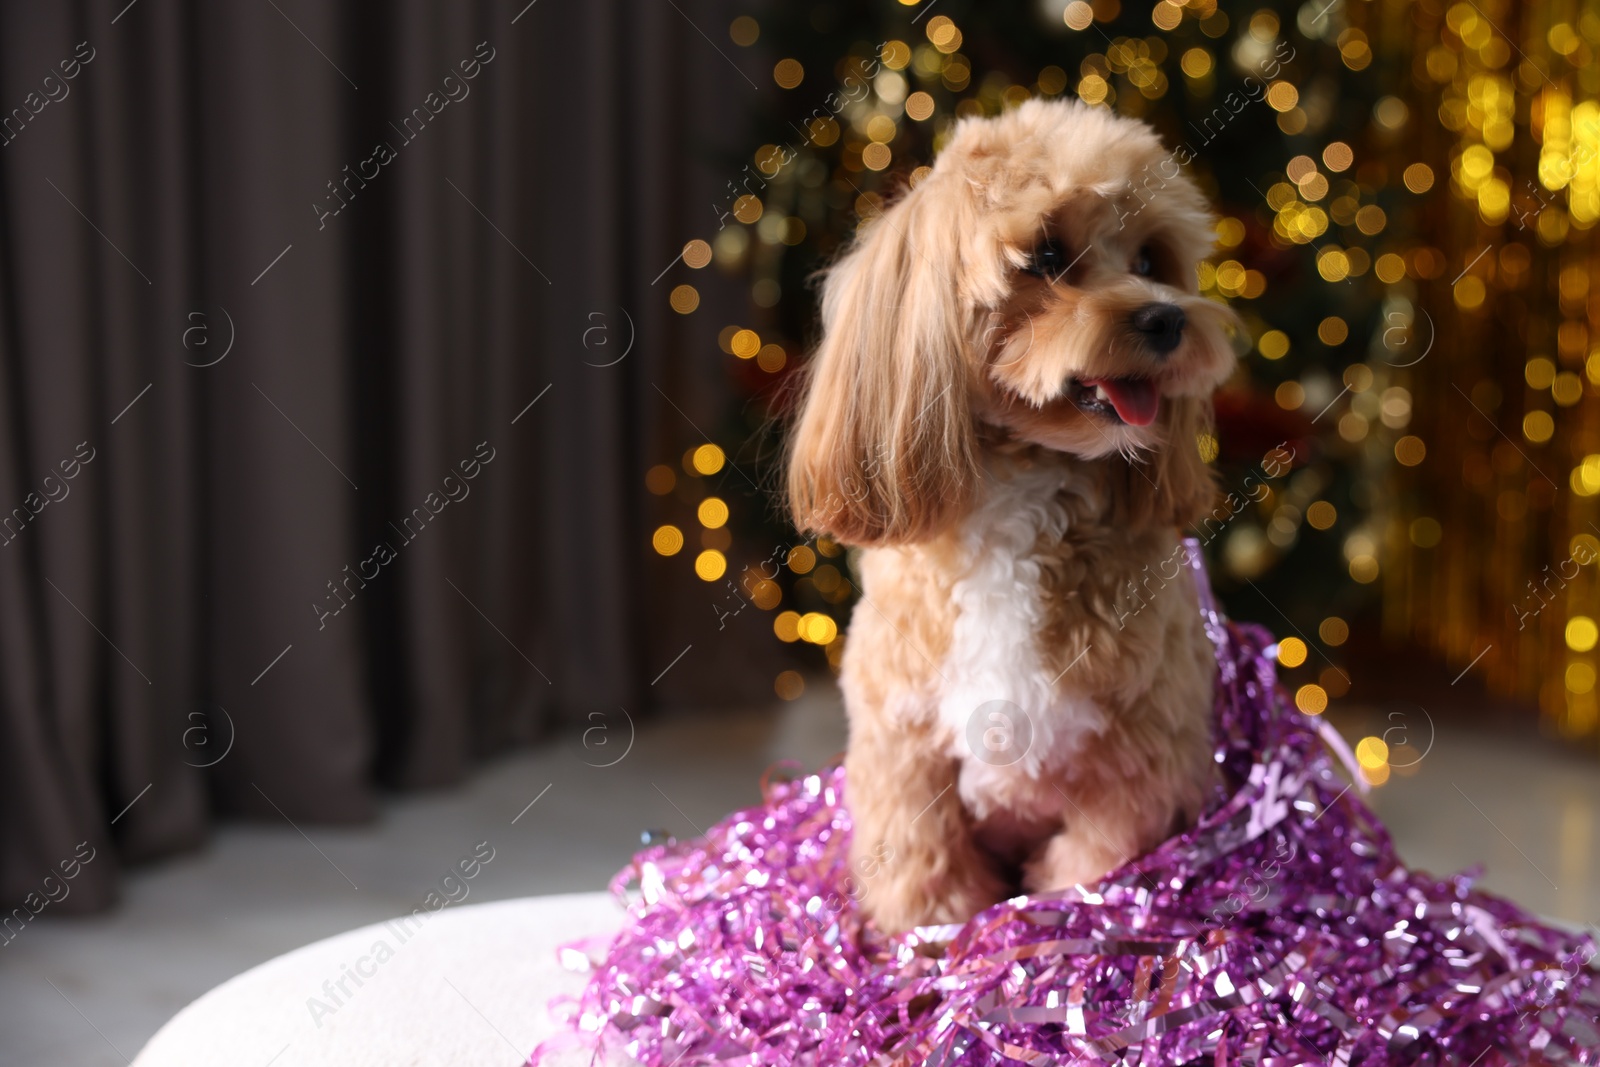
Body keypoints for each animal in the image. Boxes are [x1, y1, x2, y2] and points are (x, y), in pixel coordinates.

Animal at [780, 99, 1241, 934]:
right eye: (1047, 254)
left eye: (1151, 259)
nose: (1166, 318)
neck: (1024, 490)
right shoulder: (904, 750)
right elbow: (923, 863)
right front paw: (930, 940)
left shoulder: (1140, 759)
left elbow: (1096, 864)